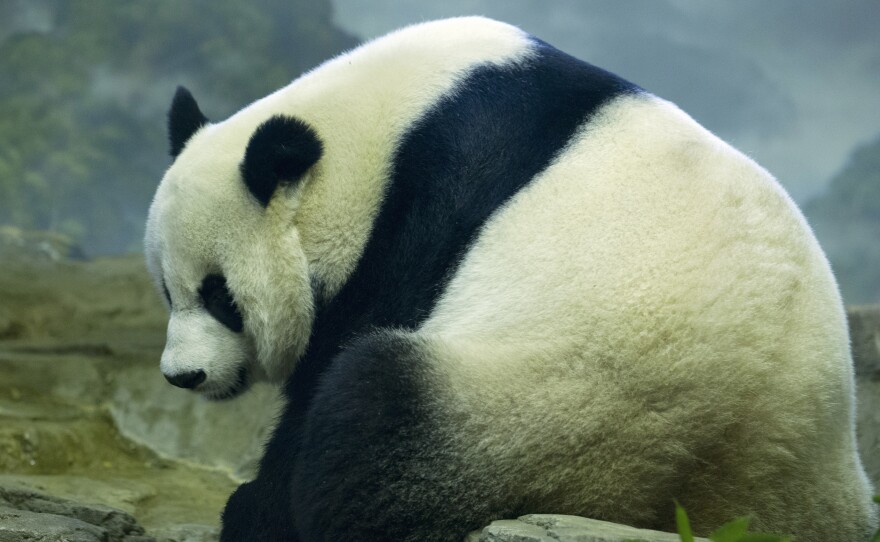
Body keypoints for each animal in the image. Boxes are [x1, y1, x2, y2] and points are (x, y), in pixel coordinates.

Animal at [144, 16, 876, 542]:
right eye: (168, 290)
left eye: (221, 296)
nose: (184, 376)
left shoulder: (427, 207)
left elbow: (334, 363)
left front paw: (253, 506)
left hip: (554, 419)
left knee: (376, 411)